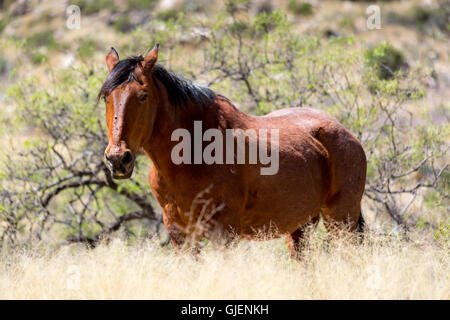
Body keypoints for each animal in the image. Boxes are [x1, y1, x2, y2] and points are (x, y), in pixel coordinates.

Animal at [97, 45, 366, 258]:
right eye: (106, 97)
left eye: (143, 95)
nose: (118, 159)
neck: (193, 153)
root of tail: (346, 133)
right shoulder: (180, 236)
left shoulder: (224, 235)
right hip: (301, 227)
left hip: (341, 221)